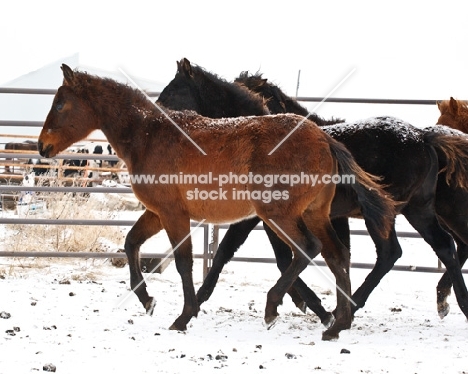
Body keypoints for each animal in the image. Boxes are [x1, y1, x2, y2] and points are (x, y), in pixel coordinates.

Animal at [38, 64, 394, 342]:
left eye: (60, 104)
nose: (42, 146)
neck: (149, 135)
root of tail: (325, 138)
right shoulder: (157, 213)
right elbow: (131, 244)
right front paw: (147, 300)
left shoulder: (174, 214)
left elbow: (184, 262)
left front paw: (184, 316)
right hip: (314, 213)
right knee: (337, 255)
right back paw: (337, 325)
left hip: (279, 214)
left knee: (307, 249)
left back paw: (274, 307)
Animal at [156, 57, 468, 328]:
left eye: (172, 90)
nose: (157, 116)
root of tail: (424, 137)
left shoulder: (262, 216)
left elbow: (242, 253)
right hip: (418, 210)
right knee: (441, 246)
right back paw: (446, 303)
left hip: (389, 213)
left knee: (395, 252)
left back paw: (355, 306)